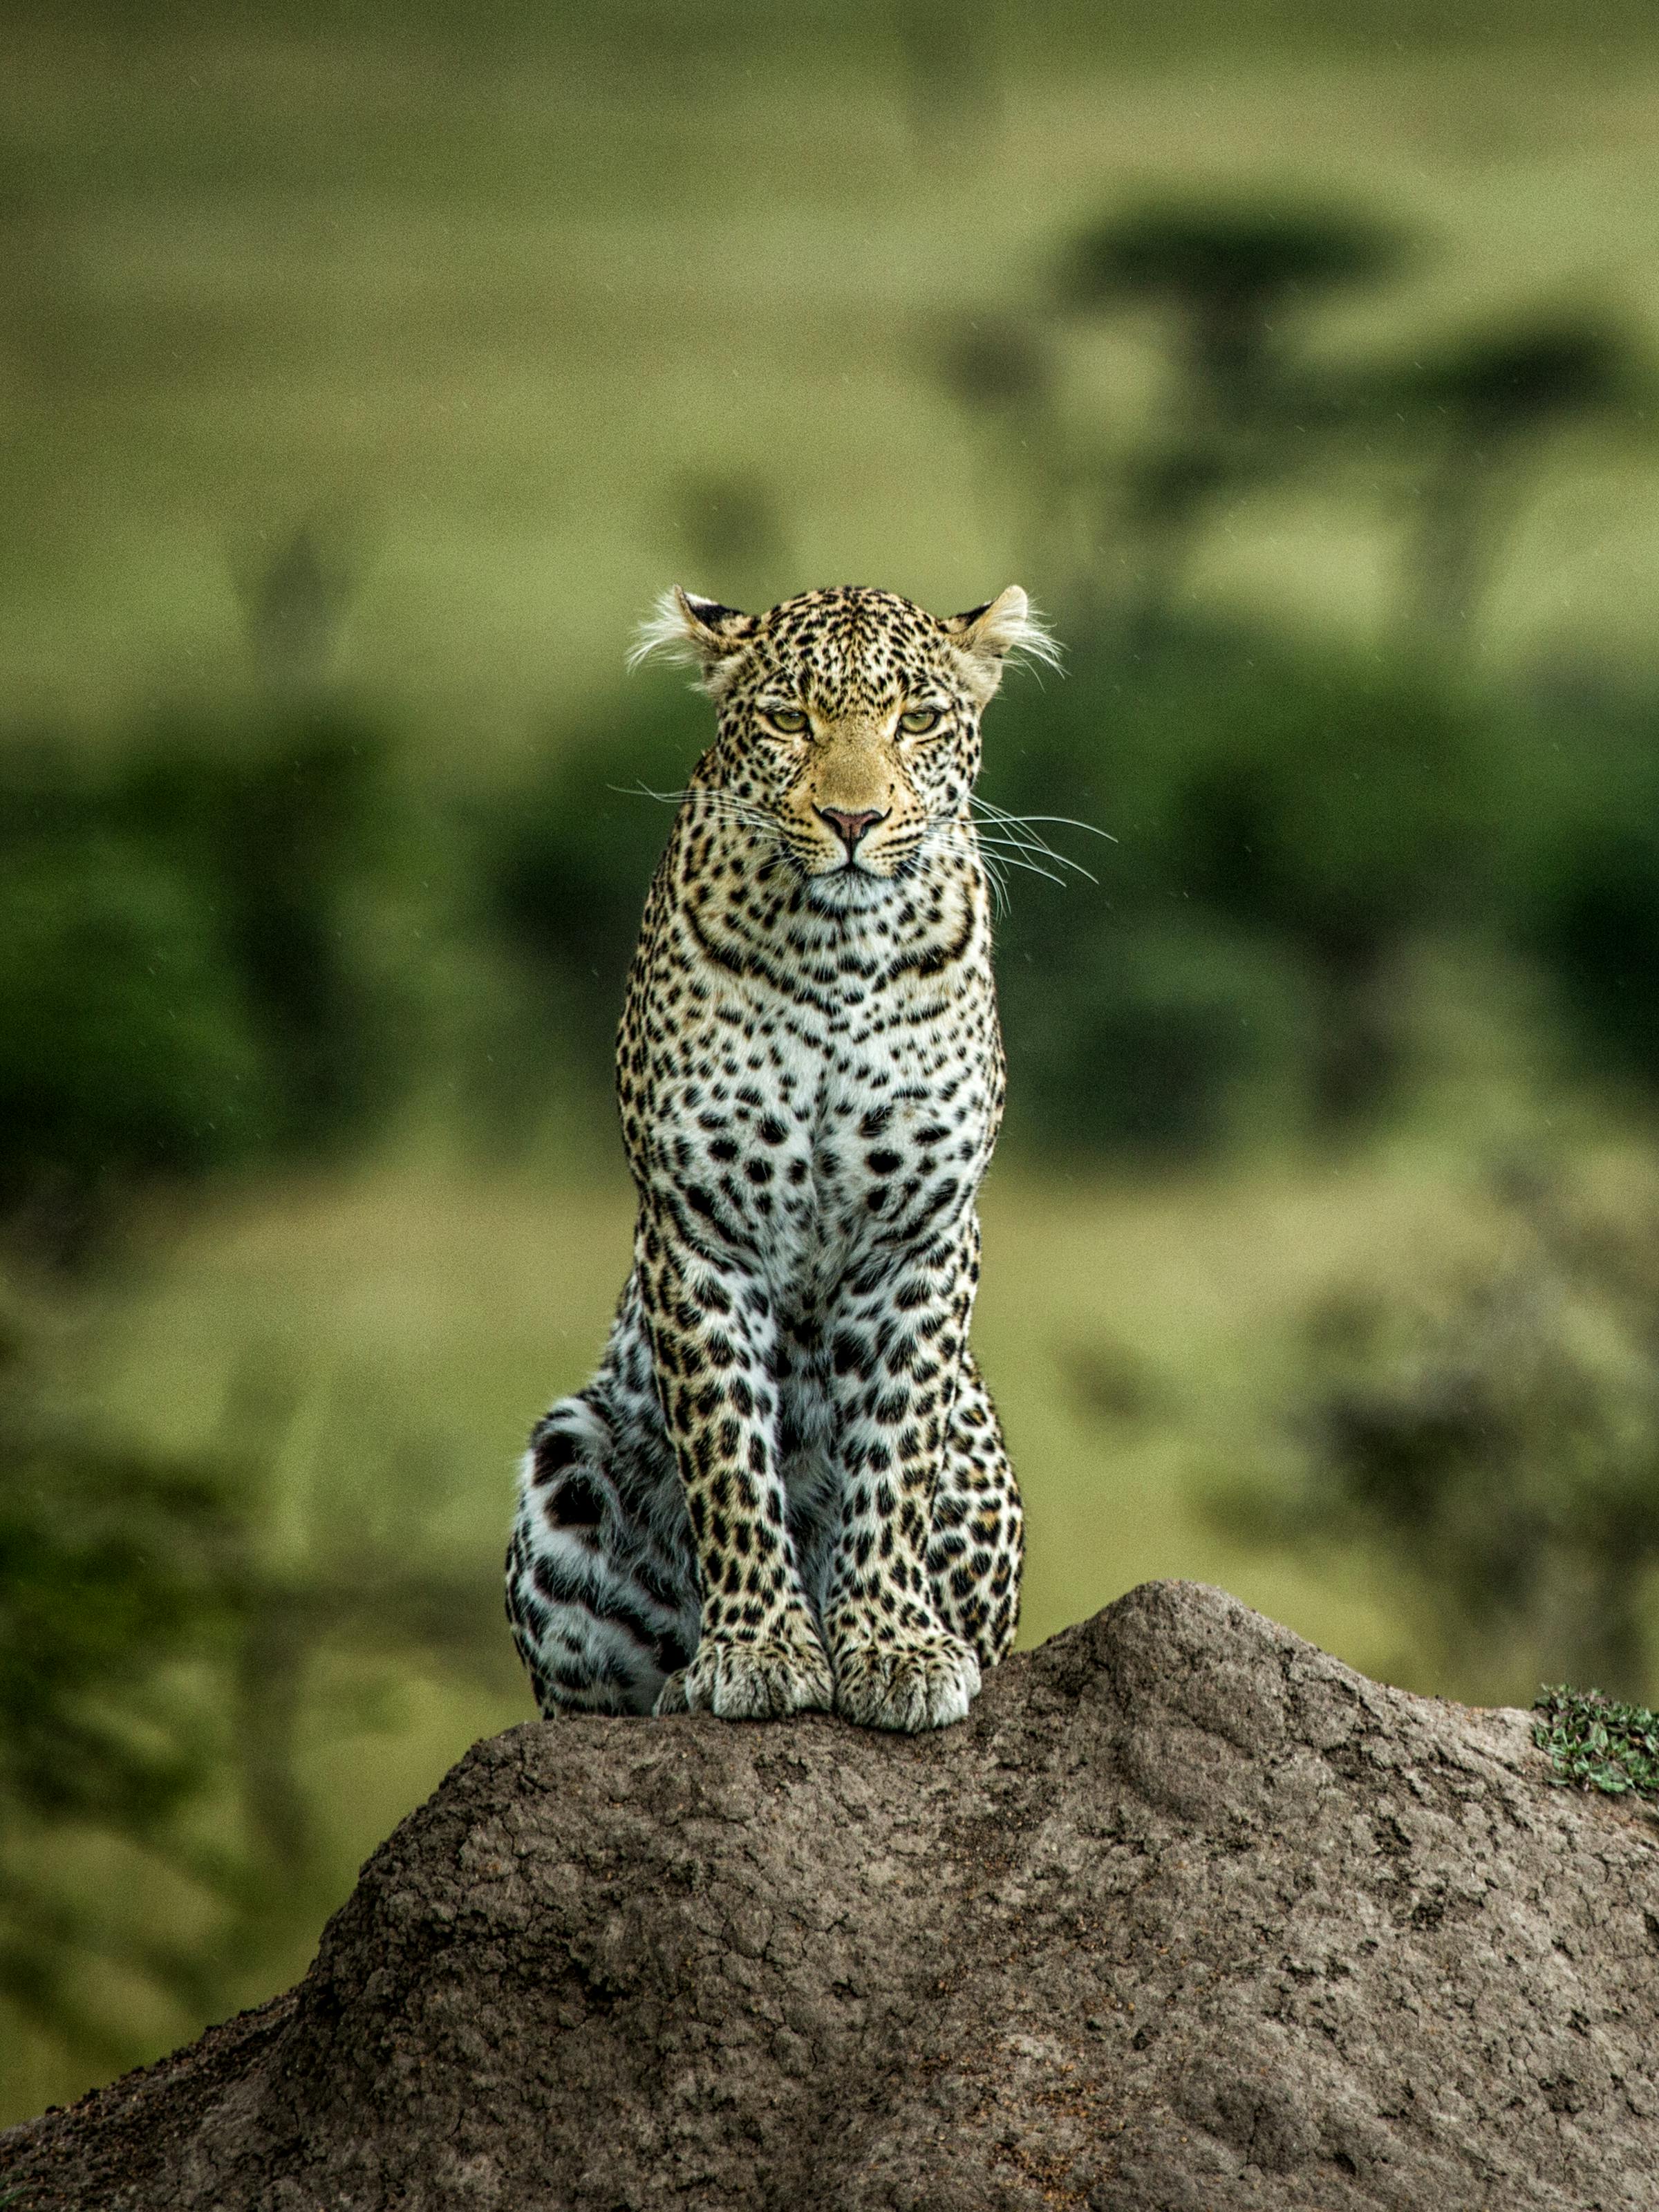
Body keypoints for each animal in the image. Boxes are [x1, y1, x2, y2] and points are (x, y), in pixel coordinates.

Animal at [504, 580, 1059, 1733]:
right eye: (789, 720)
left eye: (918, 721)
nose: (854, 821)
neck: (836, 957)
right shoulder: (699, 1225)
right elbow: (728, 1455)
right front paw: (757, 1652)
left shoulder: (923, 1233)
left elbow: (893, 1448)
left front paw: (894, 1649)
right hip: (566, 1461)